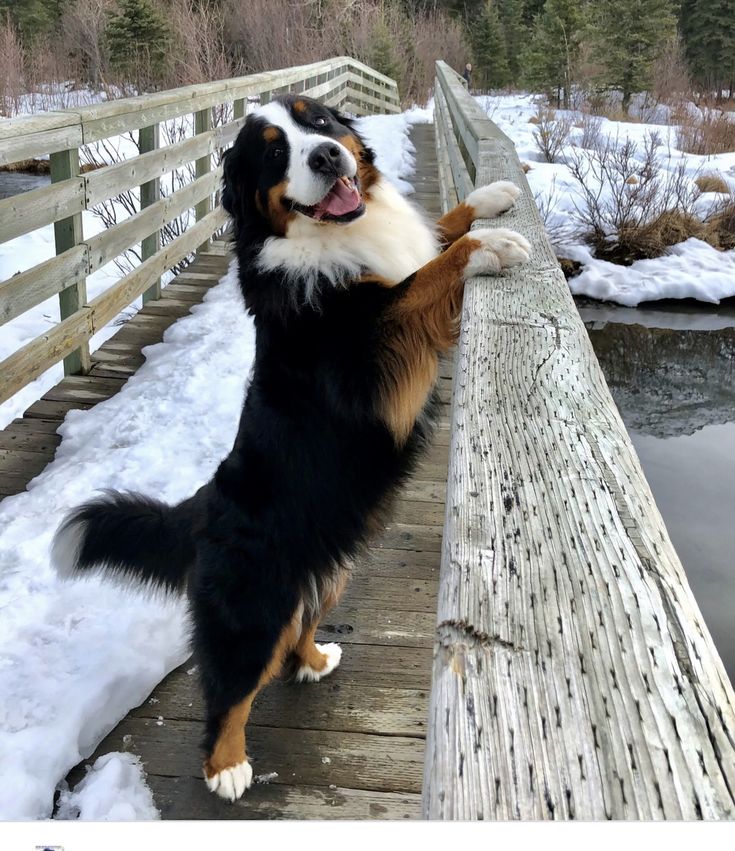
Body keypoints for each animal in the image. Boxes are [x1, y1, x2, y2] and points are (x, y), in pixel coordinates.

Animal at [54, 96, 532, 804]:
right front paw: (489, 246)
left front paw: (490, 198)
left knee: (298, 627)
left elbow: (428, 240)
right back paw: (226, 768)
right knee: (232, 684)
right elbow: (419, 281)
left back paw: (315, 659)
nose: (328, 157)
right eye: (276, 152)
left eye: (321, 123)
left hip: (329, 570)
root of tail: (203, 507)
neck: (322, 240)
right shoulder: (369, 363)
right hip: (255, 603)